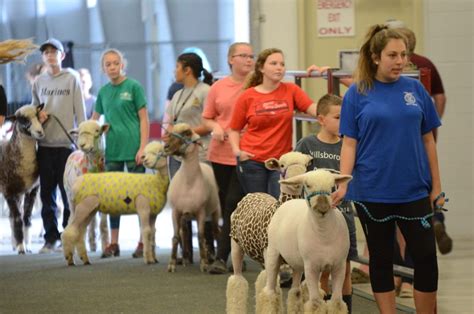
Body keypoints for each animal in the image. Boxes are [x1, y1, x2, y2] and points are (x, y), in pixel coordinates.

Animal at [0, 104, 45, 254]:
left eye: (37, 115)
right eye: (23, 120)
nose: (40, 132)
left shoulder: (32, 189)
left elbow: (27, 217)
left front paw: (28, 245)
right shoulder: (8, 191)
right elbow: (17, 219)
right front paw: (21, 247)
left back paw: (14, 244)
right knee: (12, 217)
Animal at [63, 119, 109, 254]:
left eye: (97, 130)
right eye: (79, 132)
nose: (82, 145)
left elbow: (103, 224)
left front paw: (106, 247)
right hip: (70, 198)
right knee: (73, 219)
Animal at [164, 122, 221, 272]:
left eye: (187, 133)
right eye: (171, 132)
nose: (165, 147)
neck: (189, 182)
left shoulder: (201, 212)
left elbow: (201, 237)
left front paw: (204, 263)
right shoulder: (175, 211)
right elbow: (175, 237)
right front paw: (171, 264)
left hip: (215, 211)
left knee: (215, 232)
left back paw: (212, 257)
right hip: (185, 216)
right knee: (185, 233)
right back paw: (185, 259)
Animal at [225, 151, 312, 312]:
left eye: (305, 164)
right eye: (282, 165)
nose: (296, 181)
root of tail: (251, 194)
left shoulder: (297, 264)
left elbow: (295, 293)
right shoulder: (271, 255)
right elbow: (270, 294)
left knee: (263, 281)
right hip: (236, 245)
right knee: (237, 281)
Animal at [256, 169, 352, 314]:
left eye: (332, 187)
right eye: (307, 185)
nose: (323, 208)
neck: (324, 236)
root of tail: (288, 202)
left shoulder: (339, 266)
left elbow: (336, 303)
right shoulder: (311, 266)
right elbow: (315, 304)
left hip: (297, 262)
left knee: (295, 291)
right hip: (273, 253)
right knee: (269, 292)